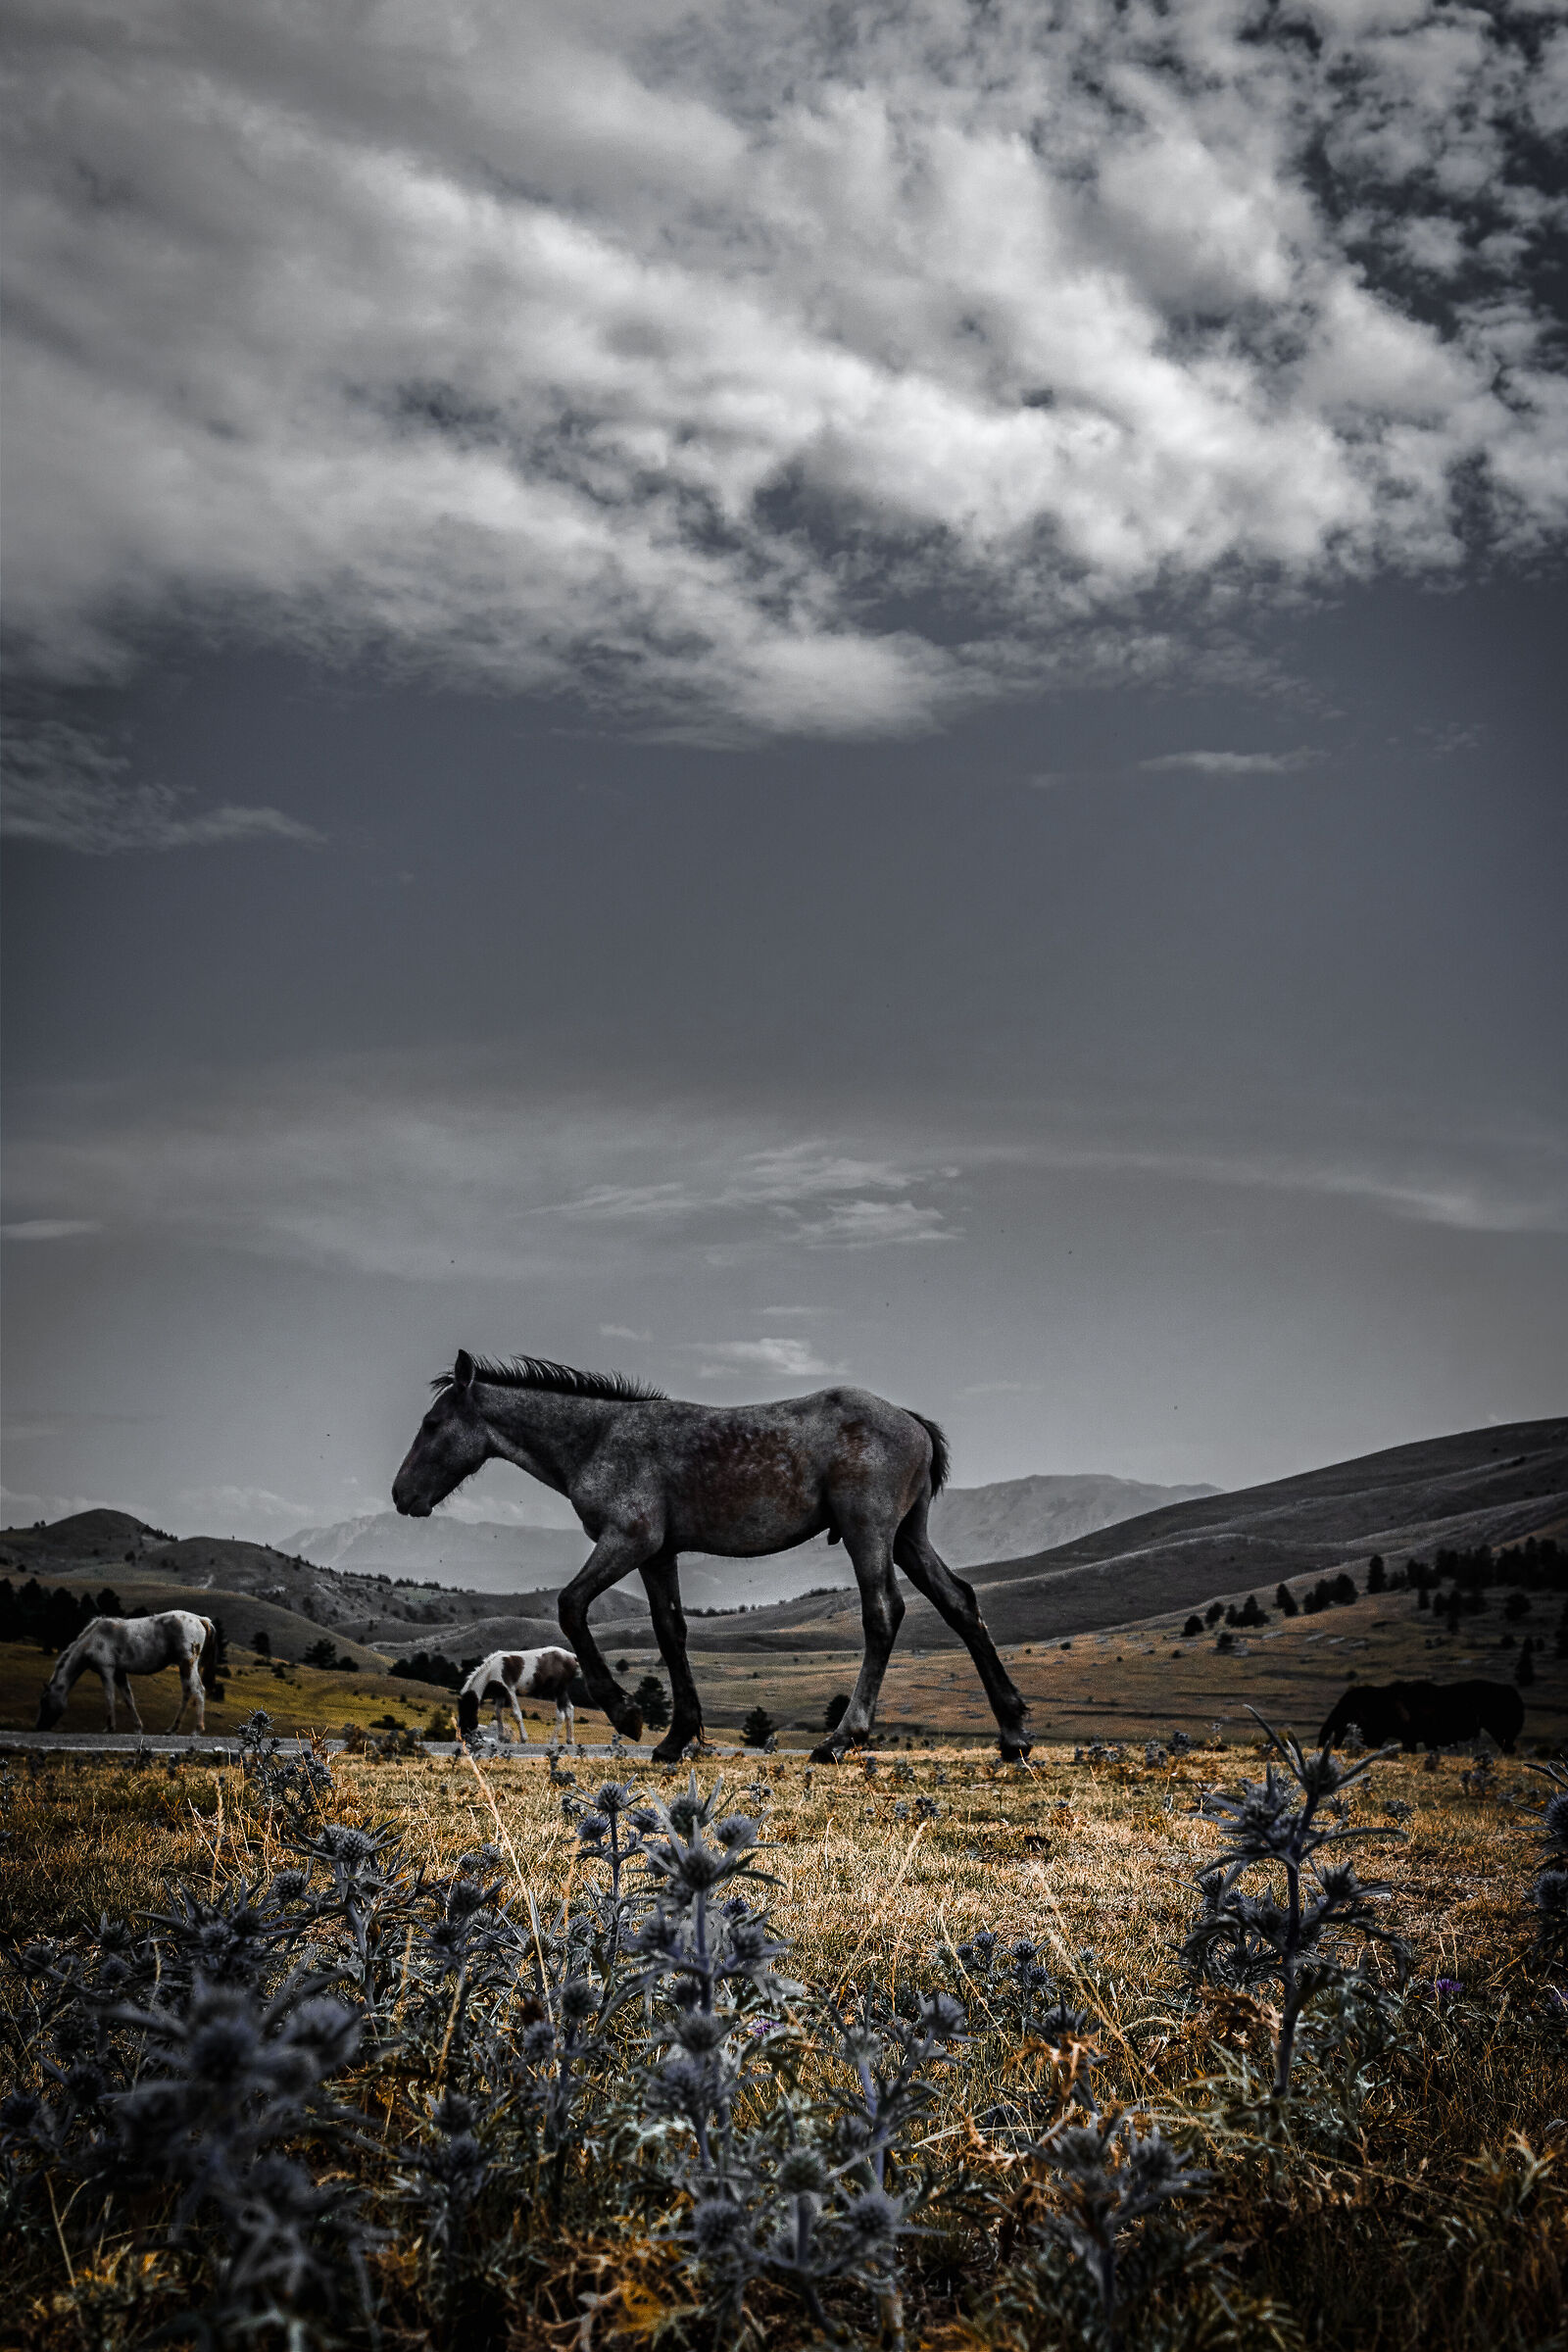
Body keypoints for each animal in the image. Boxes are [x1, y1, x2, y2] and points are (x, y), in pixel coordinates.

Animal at [37, 1610, 218, 1733]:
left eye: (44, 1701)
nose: (39, 1726)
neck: (92, 1640)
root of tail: (200, 1619)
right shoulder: (119, 1673)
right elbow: (128, 1698)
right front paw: (138, 1727)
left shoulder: (107, 1670)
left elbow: (109, 1697)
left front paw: (109, 1727)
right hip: (183, 1666)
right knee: (187, 1692)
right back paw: (172, 1728)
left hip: (187, 1664)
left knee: (198, 1690)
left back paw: (197, 1730)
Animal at [457, 1645, 584, 1746]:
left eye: (466, 1714)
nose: (463, 1737)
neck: (491, 1670)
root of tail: (573, 1657)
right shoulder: (500, 1694)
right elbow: (498, 1713)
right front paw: (501, 1737)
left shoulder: (510, 1690)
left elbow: (517, 1714)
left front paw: (524, 1738)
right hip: (563, 1691)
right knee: (569, 1710)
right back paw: (570, 1740)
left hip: (558, 1690)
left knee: (561, 1714)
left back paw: (552, 1741)